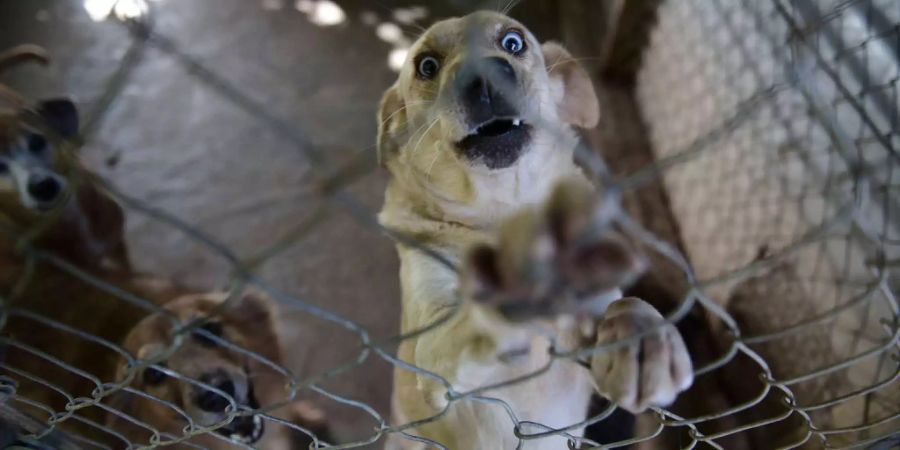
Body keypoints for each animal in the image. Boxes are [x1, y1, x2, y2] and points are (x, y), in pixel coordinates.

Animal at [376, 12, 692, 448]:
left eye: (513, 42)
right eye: (427, 65)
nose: (483, 75)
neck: (504, 212)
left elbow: (626, 303)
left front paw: (644, 335)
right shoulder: (431, 348)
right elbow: (469, 323)